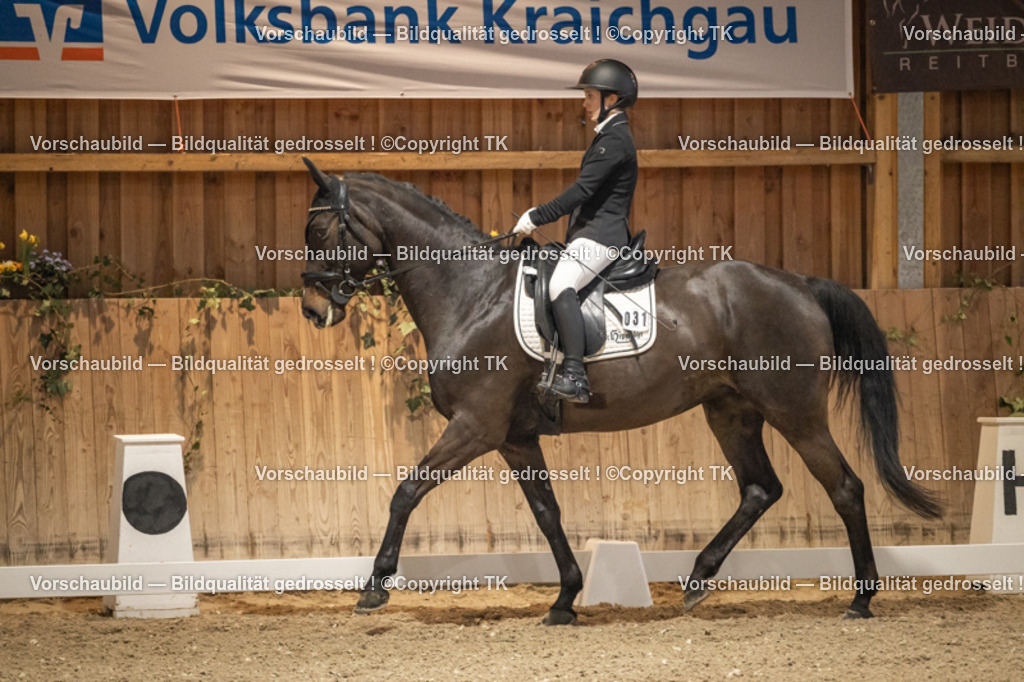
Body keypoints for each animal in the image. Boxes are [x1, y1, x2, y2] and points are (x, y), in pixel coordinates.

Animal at [297, 158, 940, 624]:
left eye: (320, 230)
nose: (309, 309)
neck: (470, 292)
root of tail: (800, 283)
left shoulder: (476, 427)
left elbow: (406, 492)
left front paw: (374, 588)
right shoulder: (513, 437)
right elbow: (547, 513)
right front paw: (564, 601)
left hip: (794, 410)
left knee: (845, 487)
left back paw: (861, 598)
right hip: (730, 410)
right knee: (761, 488)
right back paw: (698, 580)